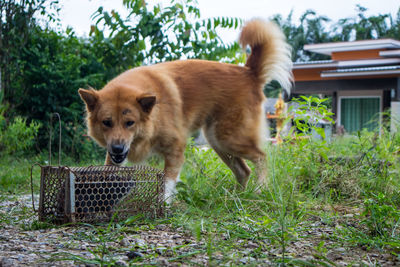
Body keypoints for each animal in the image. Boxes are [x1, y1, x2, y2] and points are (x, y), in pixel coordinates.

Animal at [78, 18, 292, 202]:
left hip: (228, 137)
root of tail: (248, 72)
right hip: (217, 141)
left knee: (261, 157)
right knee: (243, 171)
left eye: (130, 123)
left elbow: (167, 183)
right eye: (106, 122)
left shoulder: (175, 149)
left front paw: (163, 205)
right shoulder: (115, 156)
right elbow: (110, 172)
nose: (117, 148)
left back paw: (260, 189)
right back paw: (237, 197)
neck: (154, 115)